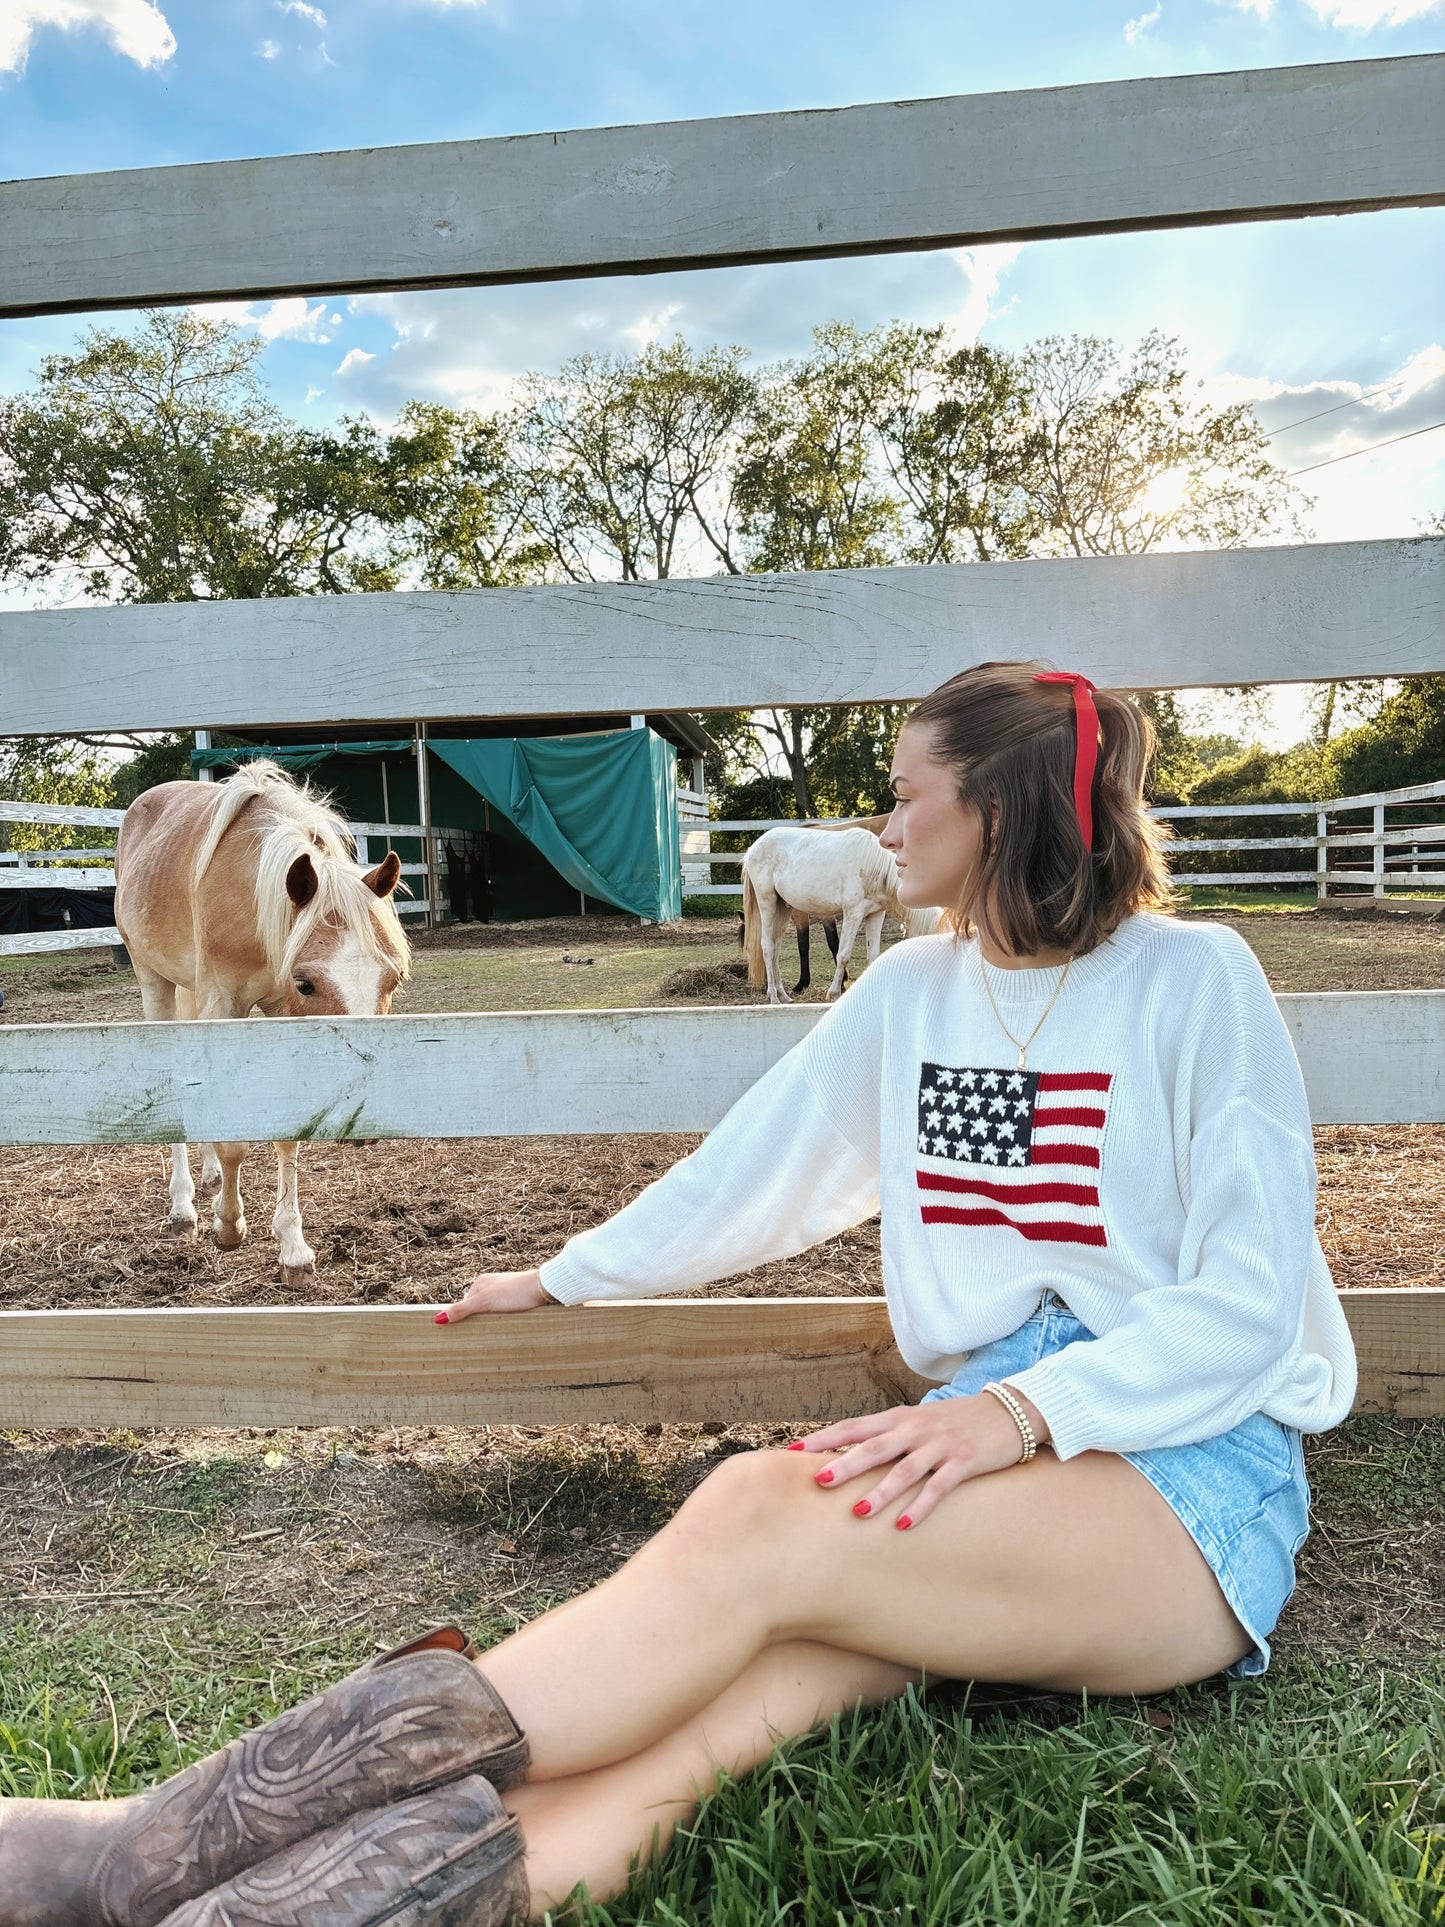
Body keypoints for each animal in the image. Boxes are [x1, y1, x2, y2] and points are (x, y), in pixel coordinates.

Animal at [739, 824, 944, 1009]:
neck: (874, 867)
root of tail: (753, 849)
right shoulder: (853, 913)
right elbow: (843, 954)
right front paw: (834, 993)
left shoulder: (876, 914)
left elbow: (873, 956)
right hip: (768, 902)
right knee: (767, 946)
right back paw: (773, 997)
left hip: (783, 908)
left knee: (775, 948)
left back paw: (784, 996)